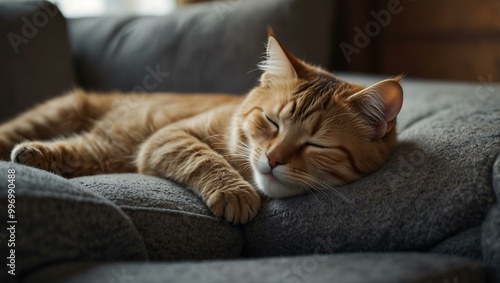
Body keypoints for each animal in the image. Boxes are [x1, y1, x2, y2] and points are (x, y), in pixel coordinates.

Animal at [0, 31, 402, 225]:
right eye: (272, 122)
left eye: (317, 145)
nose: (273, 159)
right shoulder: (169, 137)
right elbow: (204, 158)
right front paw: (233, 191)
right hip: (58, 111)